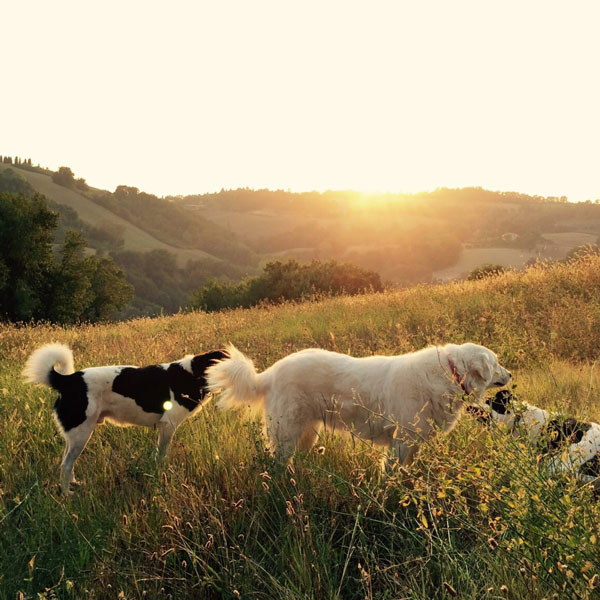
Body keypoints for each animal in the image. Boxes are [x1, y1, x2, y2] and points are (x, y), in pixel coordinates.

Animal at [22, 342, 226, 492]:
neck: (193, 373)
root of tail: (69, 380)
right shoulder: (168, 425)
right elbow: (161, 456)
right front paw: (161, 475)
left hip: (75, 435)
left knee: (67, 461)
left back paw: (73, 484)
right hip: (82, 433)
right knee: (65, 465)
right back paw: (66, 494)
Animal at [206, 342, 510, 468]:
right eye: (496, 363)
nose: (510, 375)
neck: (449, 373)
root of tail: (269, 373)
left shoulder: (414, 443)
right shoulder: (401, 442)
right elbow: (392, 473)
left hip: (307, 433)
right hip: (286, 435)